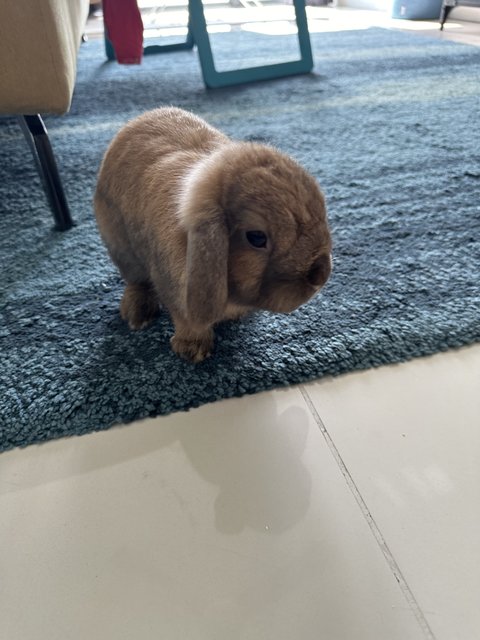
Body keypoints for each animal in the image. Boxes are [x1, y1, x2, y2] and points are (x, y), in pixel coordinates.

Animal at [95, 107, 332, 362]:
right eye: (257, 238)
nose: (321, 275)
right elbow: (188, 322)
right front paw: (193, 351)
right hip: (121, 248)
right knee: (136, 281)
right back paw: (137, 315)